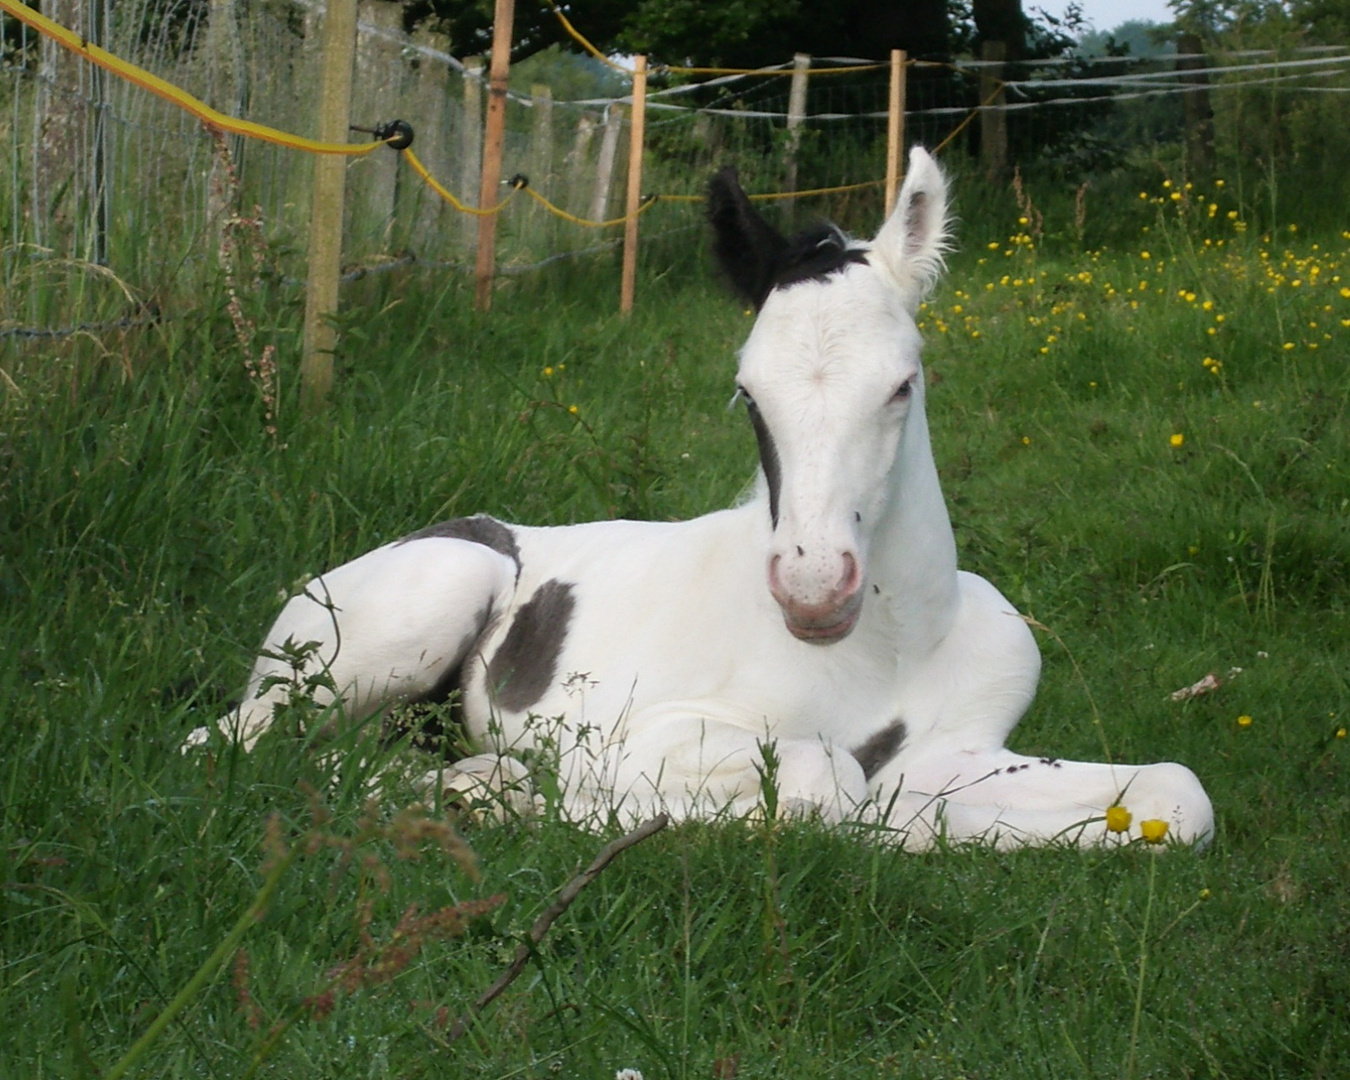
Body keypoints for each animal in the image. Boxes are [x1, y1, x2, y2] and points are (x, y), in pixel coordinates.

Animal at [195, 147, 1220, 847]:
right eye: (748, 393)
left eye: (903, 384)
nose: (814, 591)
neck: (887, 650)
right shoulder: (641, 735)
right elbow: (827, 784)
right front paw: (531, 796)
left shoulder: (963, 749)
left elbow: (1176, 792)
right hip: (421, 605)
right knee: (232, 743)